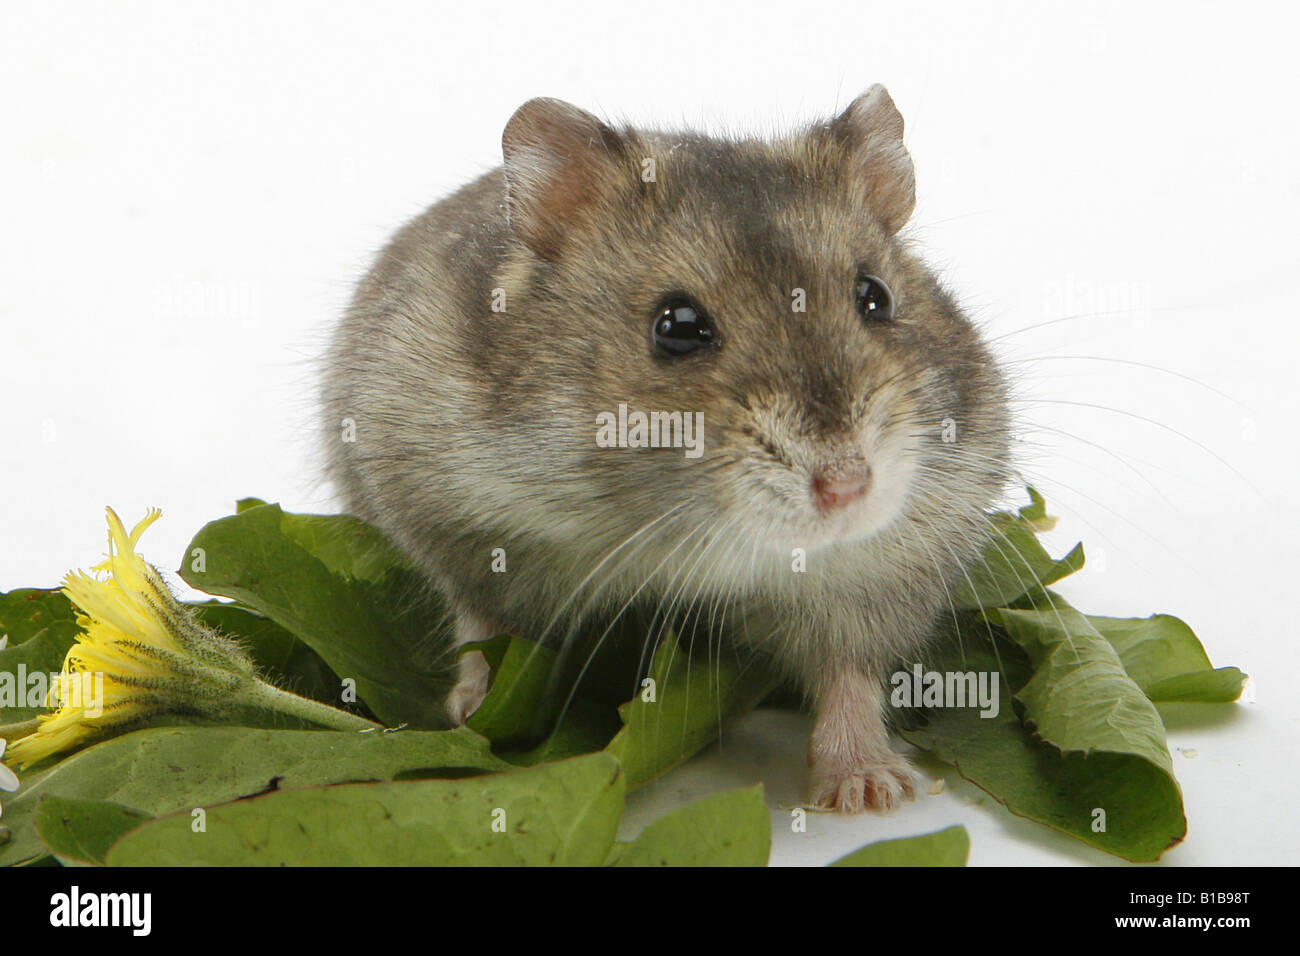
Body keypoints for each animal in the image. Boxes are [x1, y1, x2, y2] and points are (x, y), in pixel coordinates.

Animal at [322, 85, 1012, 812]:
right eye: (677, 327)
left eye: (875, 297)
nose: (848, 488)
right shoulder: (452, 518)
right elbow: (482, 623)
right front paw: (472, 719)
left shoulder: (888, 566)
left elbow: (847, 669)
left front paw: (872, 791)